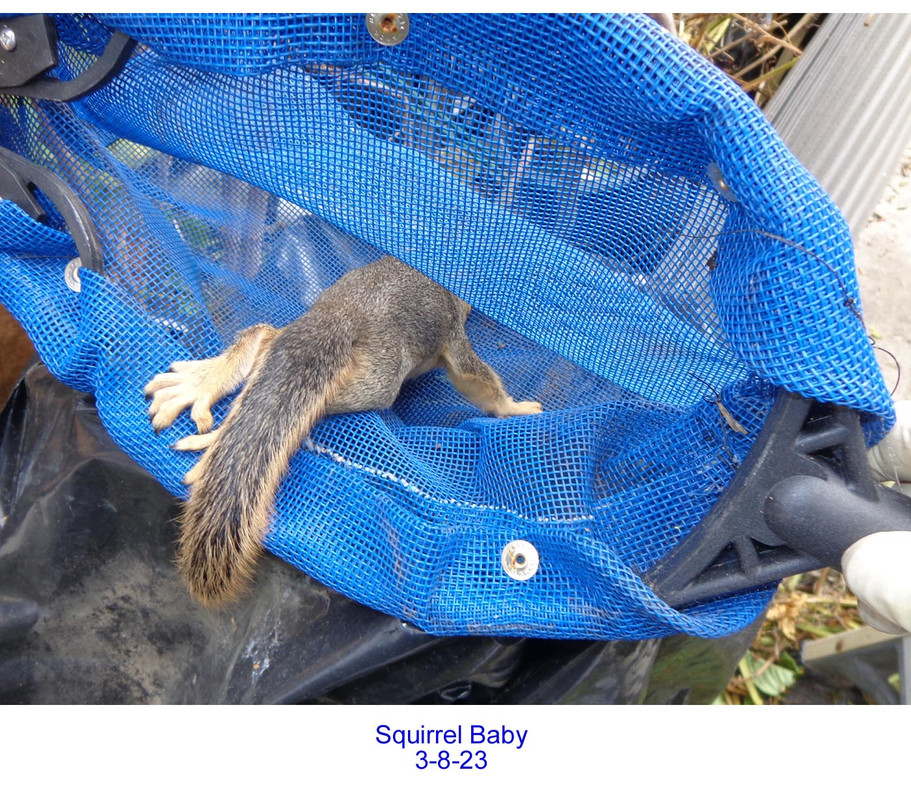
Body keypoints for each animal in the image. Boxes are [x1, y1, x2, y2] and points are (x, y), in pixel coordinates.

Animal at [145, 256, 542, 607]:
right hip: (377, 379)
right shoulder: (453, 336)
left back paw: (204, 381)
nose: (472, 305)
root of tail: (338, 316)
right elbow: (476, 379)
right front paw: (514, 409)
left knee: (265, 337)